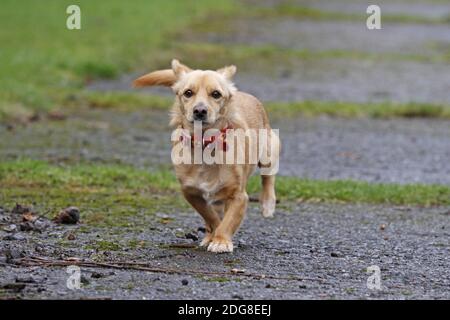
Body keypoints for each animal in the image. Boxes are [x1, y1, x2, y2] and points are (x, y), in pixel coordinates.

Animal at [134, 60, 280, 252]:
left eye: (216, 94)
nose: (200, 110)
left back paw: (268, 205)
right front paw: (212, 235)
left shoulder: (239, 197)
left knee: (268, 178)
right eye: (188, 93)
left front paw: (221, 241)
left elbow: (228, 221)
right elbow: (209, 215)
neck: (205, 144)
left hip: (269, 151)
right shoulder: (191, 193)